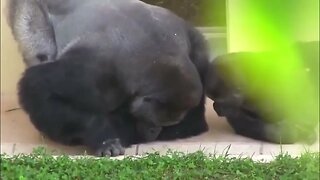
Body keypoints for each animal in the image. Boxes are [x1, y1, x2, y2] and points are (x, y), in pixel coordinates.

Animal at [6, 0, 210, 156]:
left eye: (163, 124)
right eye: (153, 122)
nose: (154, 132)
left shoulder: (197, 52)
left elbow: (194, 123)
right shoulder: (97, 75)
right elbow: (38, 88)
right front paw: (104, 138)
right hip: (28, 8)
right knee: (40, 51)